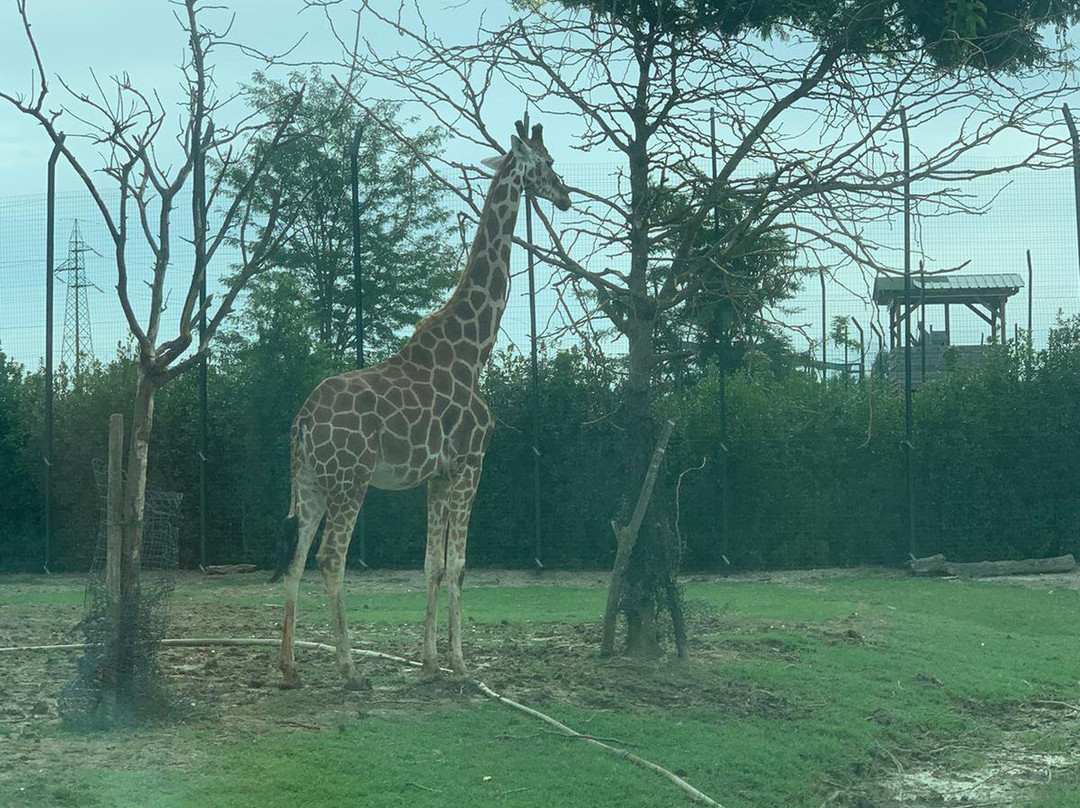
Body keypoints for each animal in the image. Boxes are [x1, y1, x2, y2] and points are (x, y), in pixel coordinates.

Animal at [272, 121, 574, 687]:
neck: (473, 350)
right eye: (545, 163)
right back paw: (349, 668)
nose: (566, 196)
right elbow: (457, 565)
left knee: (296, 559)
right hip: (350, 479)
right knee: (330, 558)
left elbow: (431, 564)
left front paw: (429, 662)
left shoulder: (436, 474)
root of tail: (301, 421)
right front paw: (459, 663)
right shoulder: (471, 462)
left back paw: (289, 667)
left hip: (309, 482)